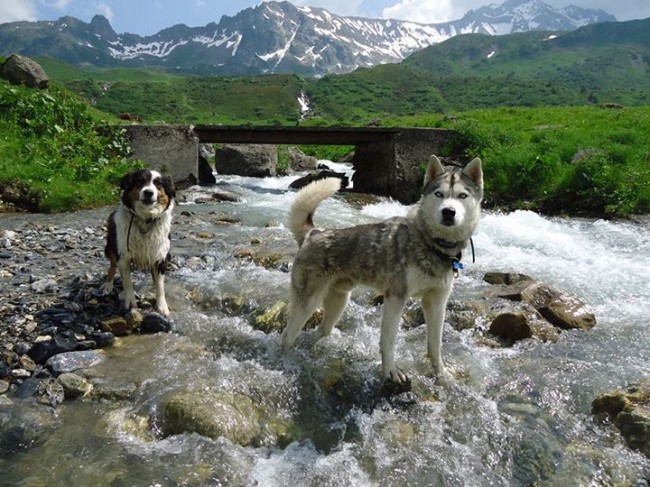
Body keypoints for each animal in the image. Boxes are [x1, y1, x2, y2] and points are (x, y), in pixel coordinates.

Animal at [100, 170, 173, 318]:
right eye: (140, 181)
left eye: (158, 184)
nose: (148, 192)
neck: (145, 219)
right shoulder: (123, 256)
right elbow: (127, 282)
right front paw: (130, 301)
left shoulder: (160, 256)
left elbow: (160, 285)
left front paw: (162, 306)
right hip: (112, 245)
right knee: (112, 265)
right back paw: (108, 284)